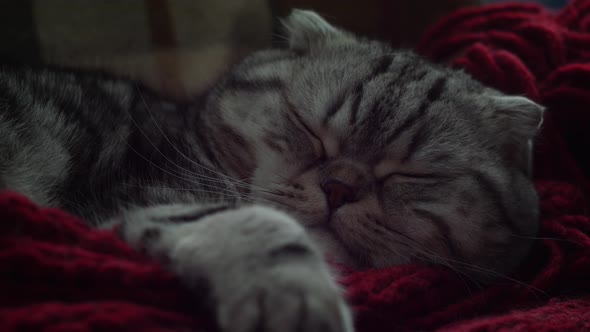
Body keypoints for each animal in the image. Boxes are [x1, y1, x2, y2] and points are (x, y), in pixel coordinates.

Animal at [0, 9, 544, 332]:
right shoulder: (138, 196)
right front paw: (297, 301)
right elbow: (257, 225)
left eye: (413, 175)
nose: (338, 188)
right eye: (308, 129)